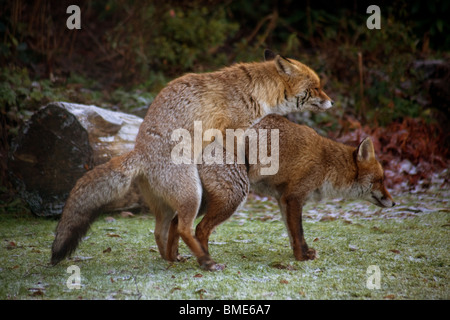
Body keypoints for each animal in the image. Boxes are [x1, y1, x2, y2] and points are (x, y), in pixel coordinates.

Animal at [50, 50, 334, 270]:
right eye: (316, 87)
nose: (331, 102)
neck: (254, 91)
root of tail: (139, 152)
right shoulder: (231, 130)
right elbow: (237, 152)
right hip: (192, 194)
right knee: (186, 229)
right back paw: (206, 262)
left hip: (169, 204)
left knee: (160, 231)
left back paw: (172, 258)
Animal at [171, 114, 396, 266]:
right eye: (380, 180)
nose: (394, 203)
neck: (327, 164)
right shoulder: (294, 198)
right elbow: (299, 231)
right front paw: (302, 258)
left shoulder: (282, 200)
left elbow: (291, 233)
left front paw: (301, 254)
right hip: (232, 197)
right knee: (200, 229)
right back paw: (207, 261)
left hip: (205, 201)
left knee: (176, 224)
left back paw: (173, 257)